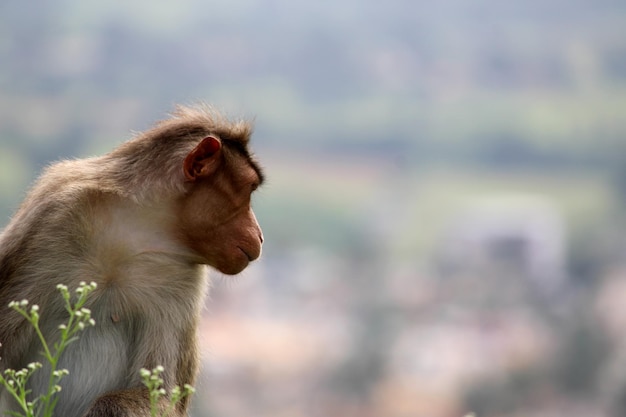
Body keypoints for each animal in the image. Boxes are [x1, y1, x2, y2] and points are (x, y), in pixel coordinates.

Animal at [0, 102, 262, 414]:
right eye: (248, 189)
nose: (260, 235)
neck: (134, 228)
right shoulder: (54, 213)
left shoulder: (184, 277)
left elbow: (161, 396)